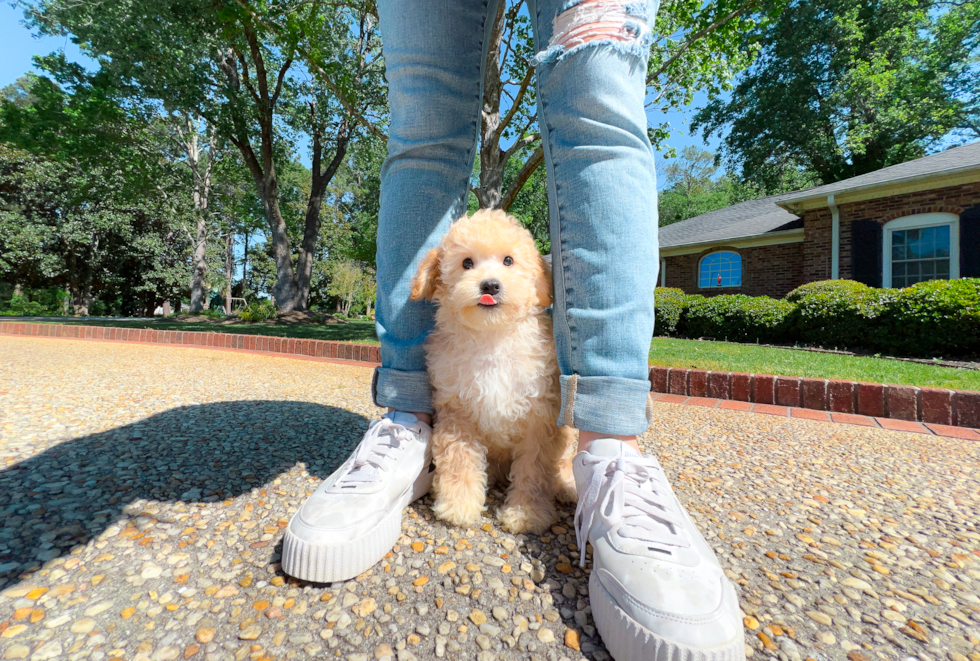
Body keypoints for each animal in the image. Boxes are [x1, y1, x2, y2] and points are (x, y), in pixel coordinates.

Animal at [406, 209, 576, 532]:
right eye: (466, 263)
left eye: (508, 260)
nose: (490, 286)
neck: (492, 337)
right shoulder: (457, 410)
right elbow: (459, 458)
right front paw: (458, 504)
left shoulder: (540, 416)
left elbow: (535, 468)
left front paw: (527, 513)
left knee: (563, 461)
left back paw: (567, 486)